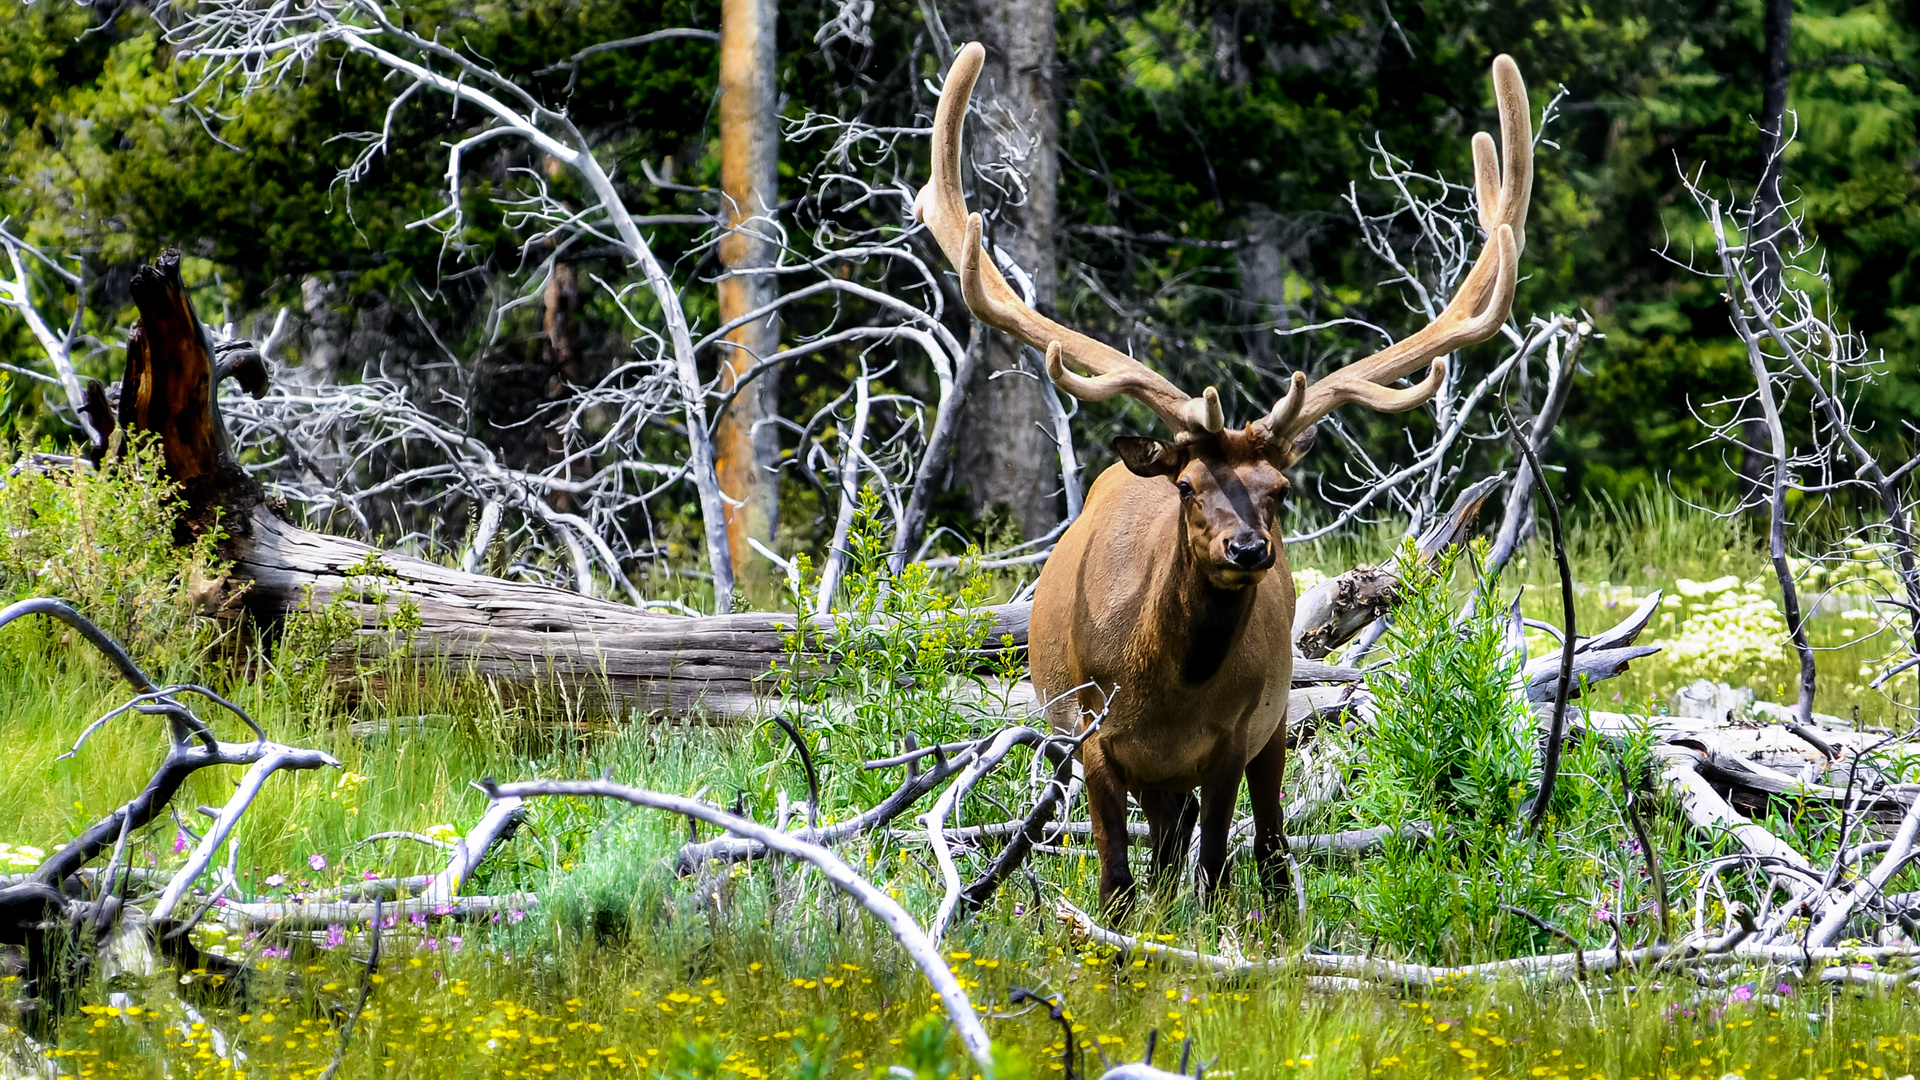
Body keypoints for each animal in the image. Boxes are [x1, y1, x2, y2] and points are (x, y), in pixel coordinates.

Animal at [913, 42, 1528, 907]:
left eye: (1280, 492)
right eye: (1188, 486)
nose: (1247, 550)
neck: (1165, 689)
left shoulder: (1233, 738)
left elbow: (1214, 867)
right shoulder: (1092, 736)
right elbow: (1116, 878)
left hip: (1273, 722)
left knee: (1265, 852)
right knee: (1167, 854)